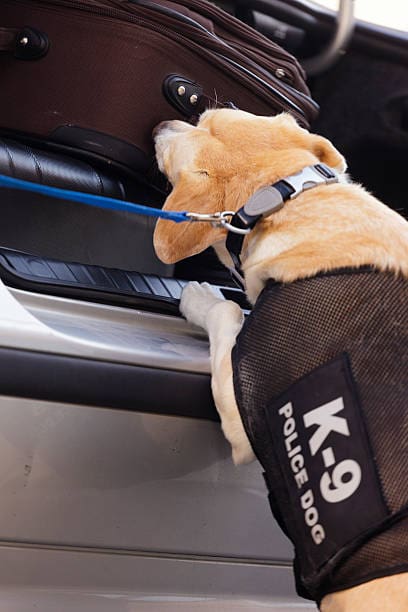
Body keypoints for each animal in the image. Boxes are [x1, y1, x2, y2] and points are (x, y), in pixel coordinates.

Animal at [153, 107, 408, 608]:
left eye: (201, 123)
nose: (159, 126)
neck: (286, 200)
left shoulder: (240, 412)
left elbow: (228, 310)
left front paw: (200, 297)